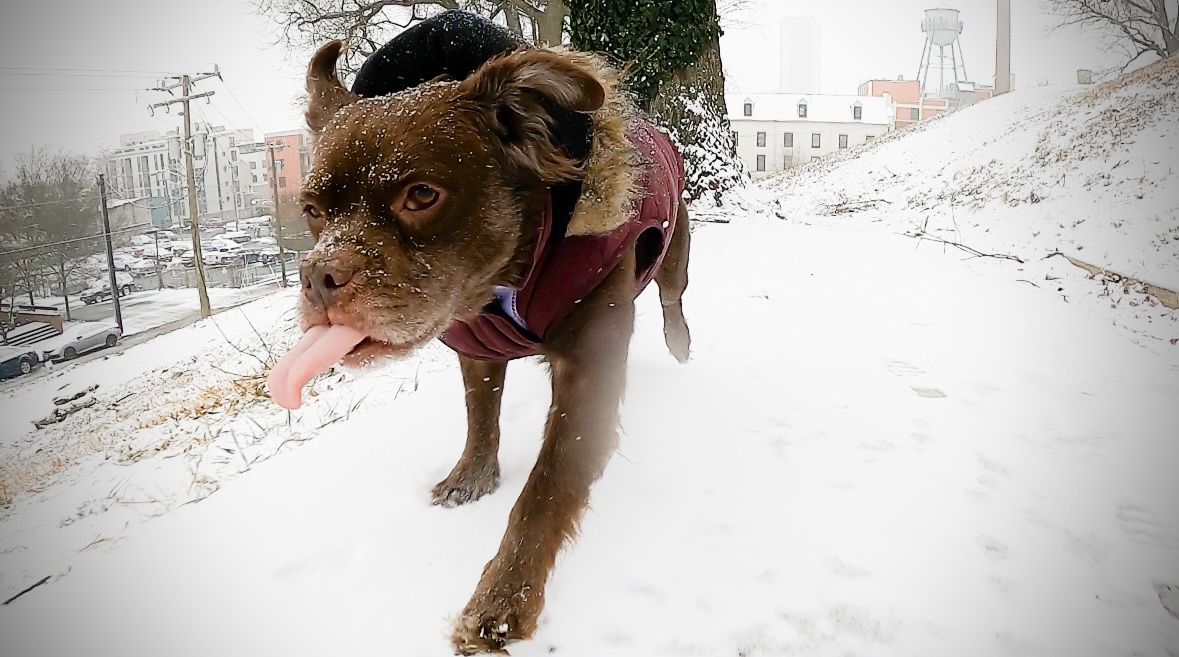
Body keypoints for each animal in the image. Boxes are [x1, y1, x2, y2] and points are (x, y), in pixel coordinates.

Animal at [267, 40, 688, 651]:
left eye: (421, 195)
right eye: (312, 211)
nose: (317, 276)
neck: (499, 285)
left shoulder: (590, 372)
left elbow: (545, 488)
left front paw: (503, 602)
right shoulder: (475, 352)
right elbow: (480, 416)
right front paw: (471, 478)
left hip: (674, 259)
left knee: (673, 298)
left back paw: (681, 345)